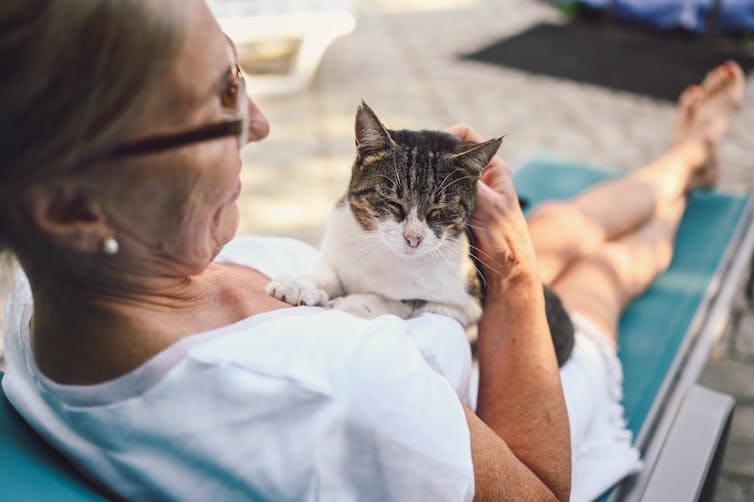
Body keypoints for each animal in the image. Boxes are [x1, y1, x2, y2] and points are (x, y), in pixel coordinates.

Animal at [262, 102, 568, 366]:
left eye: (438, 210)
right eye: (393, 203)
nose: (414, 237)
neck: (386, 256)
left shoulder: (467, 303)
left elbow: (408, 301)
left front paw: (357, 303)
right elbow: (327, 271)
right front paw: (299, 283)